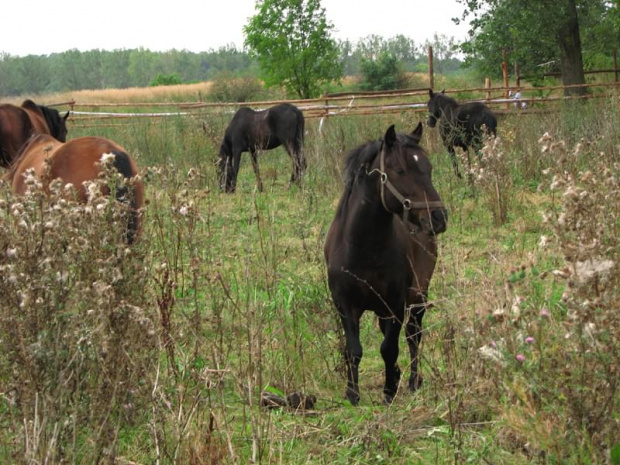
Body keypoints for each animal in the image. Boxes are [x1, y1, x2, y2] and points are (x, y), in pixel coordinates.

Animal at [324, 123, 446, 406]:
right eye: (400, 170)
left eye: (429, 168)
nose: (438, 217)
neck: (362, 248)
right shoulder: (345, 304)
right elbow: (353, 350)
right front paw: (353, 394)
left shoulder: (396, 304)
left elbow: (389, 348)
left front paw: (390, 390)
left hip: (418, 295)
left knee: (413, 335)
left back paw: (412, 380)